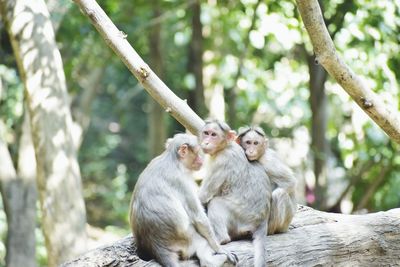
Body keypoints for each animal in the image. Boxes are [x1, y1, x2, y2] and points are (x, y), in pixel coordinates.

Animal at [130, 134, 236, 267]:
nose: (201, 160)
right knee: (202, 245)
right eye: (197, 152)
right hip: (188, 239)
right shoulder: (181, 180)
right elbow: (199, 218)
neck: (173, 160)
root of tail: (158, 247)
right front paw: (219, 249)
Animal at [198, 121, 270, 267]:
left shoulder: (221, 161)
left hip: (242, 216)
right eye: (206, 133)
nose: (206, 142)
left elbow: (204, 196)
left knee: (216, 203)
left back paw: (221, 239)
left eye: (213, 135)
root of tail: (263, 219)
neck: (225, 147)